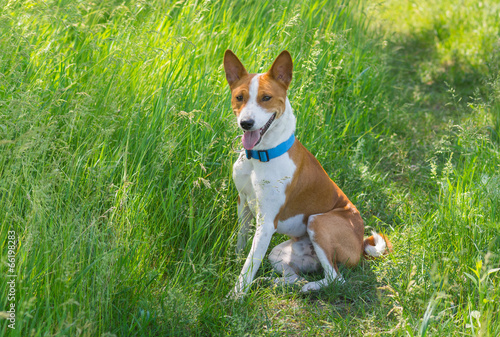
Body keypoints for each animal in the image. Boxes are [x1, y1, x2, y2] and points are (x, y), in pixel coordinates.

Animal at [223, 48, 390, 296]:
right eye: (239, 97)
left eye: (266, 98)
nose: (246, 123)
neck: (262, 155)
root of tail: (360, 243)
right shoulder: (243, 204)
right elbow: (242, 246)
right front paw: (234, 263)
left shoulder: (266, 224)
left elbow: (249, 265)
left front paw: (236, 296)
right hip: (280, 253)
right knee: (296, 276)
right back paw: (277, 283)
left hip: (318, 222)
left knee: (335, 279)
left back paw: (309, 287)